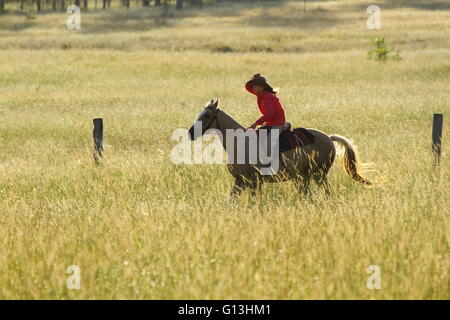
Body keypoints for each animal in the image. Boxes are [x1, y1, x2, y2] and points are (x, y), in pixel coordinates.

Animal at [188, 99, 370, 198]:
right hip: (306, 177)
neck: (239, 144)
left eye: (207, 115)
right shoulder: (240, 182)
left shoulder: (253, 182)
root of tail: (329, 138)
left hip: (317, 175)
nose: (190, 133)